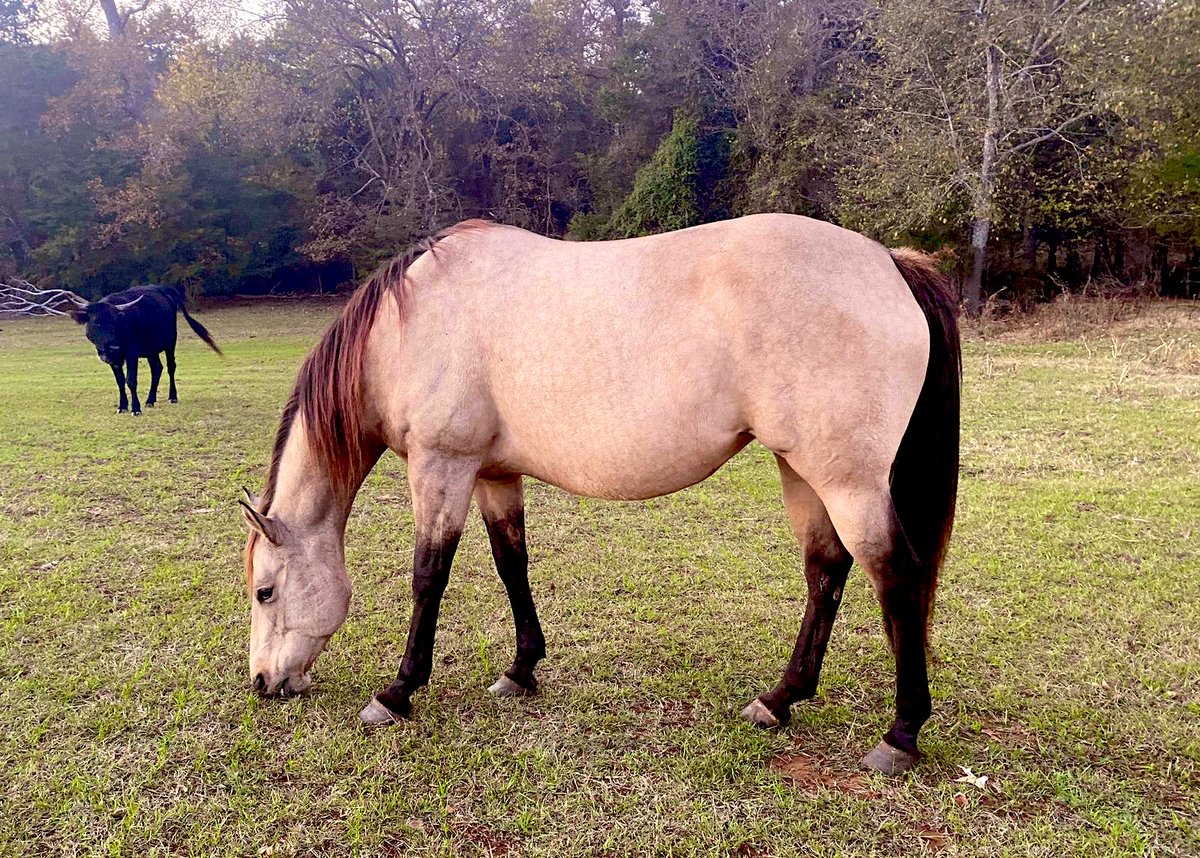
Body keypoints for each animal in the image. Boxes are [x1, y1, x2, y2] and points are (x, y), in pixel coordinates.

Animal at [72, 284, 222, 414]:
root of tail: (162, 289)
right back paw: (150, 400)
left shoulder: (131, 354)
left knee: (170, 367)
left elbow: (131, 381)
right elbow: (120, 381)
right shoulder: (114, 360)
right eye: (96, 322)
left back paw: (172, 397)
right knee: (157, 368)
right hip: (151, 350)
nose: (114, 347)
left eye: (115, 322)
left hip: (170, 342)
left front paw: (135, 409)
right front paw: (122, 406)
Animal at [239, 213, 960, 774]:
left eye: (265, 592)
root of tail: (886, 261)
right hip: (801, 469)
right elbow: (511, 564)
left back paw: (900, 735)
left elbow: (428, 577)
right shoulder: (494, 473)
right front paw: (521, 670)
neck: (407, 326)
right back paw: (779, 701)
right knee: (826, 571)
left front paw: (396, 693)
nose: (264, 683)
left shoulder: (442, 466)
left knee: (896, 577)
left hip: (846, 480)